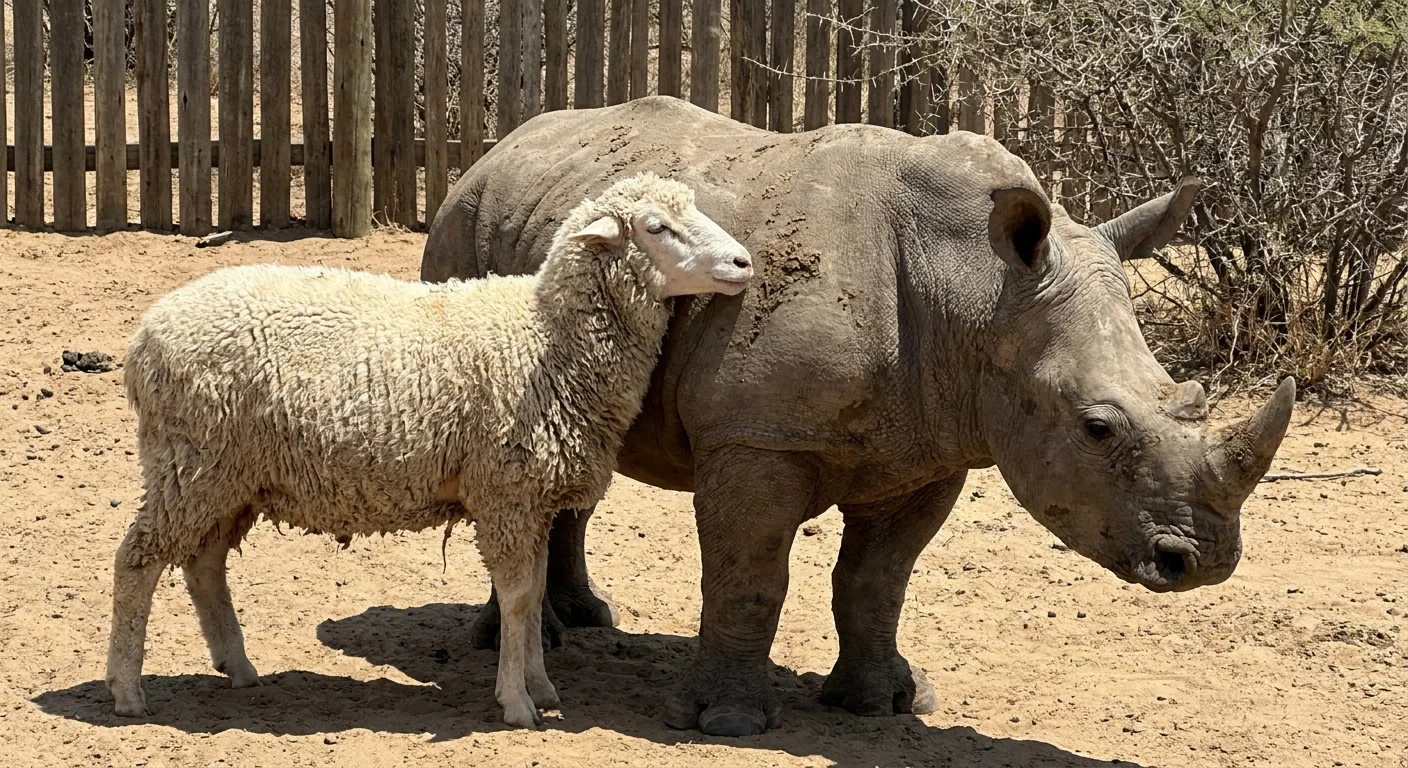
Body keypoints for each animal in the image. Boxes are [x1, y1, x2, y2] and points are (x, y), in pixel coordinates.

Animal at [105, 172, 754, 727]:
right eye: (656, 227)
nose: (743, 262)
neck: (547, 337)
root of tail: (145, 337)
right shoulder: (506, 492)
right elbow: (518, 598)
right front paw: (516, 701)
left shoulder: (533, 498)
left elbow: (535, 594)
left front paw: (541, 686)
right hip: (192, 462)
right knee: (137, 560)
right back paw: (126, 690)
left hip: (229, 475)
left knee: (203, 564)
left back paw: (238, 667)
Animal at [422, 96, 1294, 736]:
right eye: (1098, 428)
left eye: (1188, 397)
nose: (1203, 561)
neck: (977, 291)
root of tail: (496, 149)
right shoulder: (756, 438)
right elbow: (750, 576)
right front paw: (730, 722)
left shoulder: (934, 448)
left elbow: (878, 582)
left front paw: (884, 702)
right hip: (461, 227)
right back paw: (530, 640)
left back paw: (587, 620)